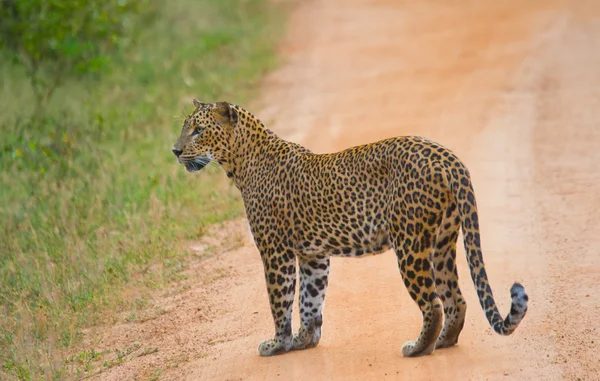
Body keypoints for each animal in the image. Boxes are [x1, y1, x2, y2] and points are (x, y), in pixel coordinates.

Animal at [171, 99, 528, 358]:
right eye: (185, 128)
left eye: (197, 130)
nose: (175, 150)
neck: (240, 161)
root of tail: (449, 158)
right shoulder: (313, 255)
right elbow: (310, 299)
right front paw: (305, 339)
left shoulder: (276, 252)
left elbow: (280, 300)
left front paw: (277, 343)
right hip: (442, 241)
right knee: (456, 299)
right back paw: (443, 341)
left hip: (410, 243)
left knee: (433, 303)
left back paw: (418, 348)